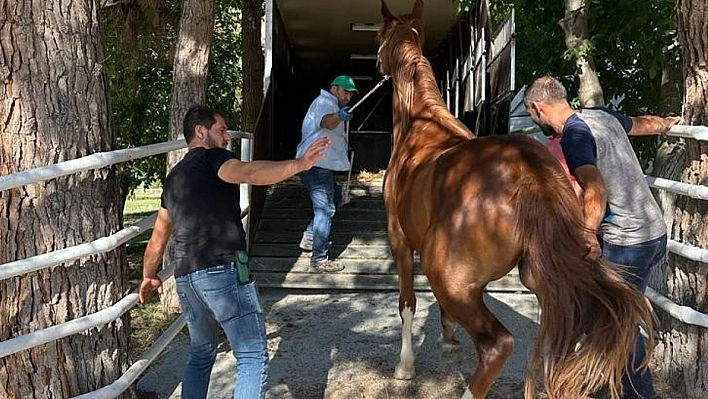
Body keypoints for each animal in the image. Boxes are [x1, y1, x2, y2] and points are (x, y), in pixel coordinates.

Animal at [378, 0, 656, 399]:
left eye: (380, 36)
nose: (376, 64)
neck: (422, 124)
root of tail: (527, 172)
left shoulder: (399, 241)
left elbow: (407, 304)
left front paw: (405, 367)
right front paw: (449, 341)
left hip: (449, 276)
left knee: (498, 345)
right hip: (542, 277)